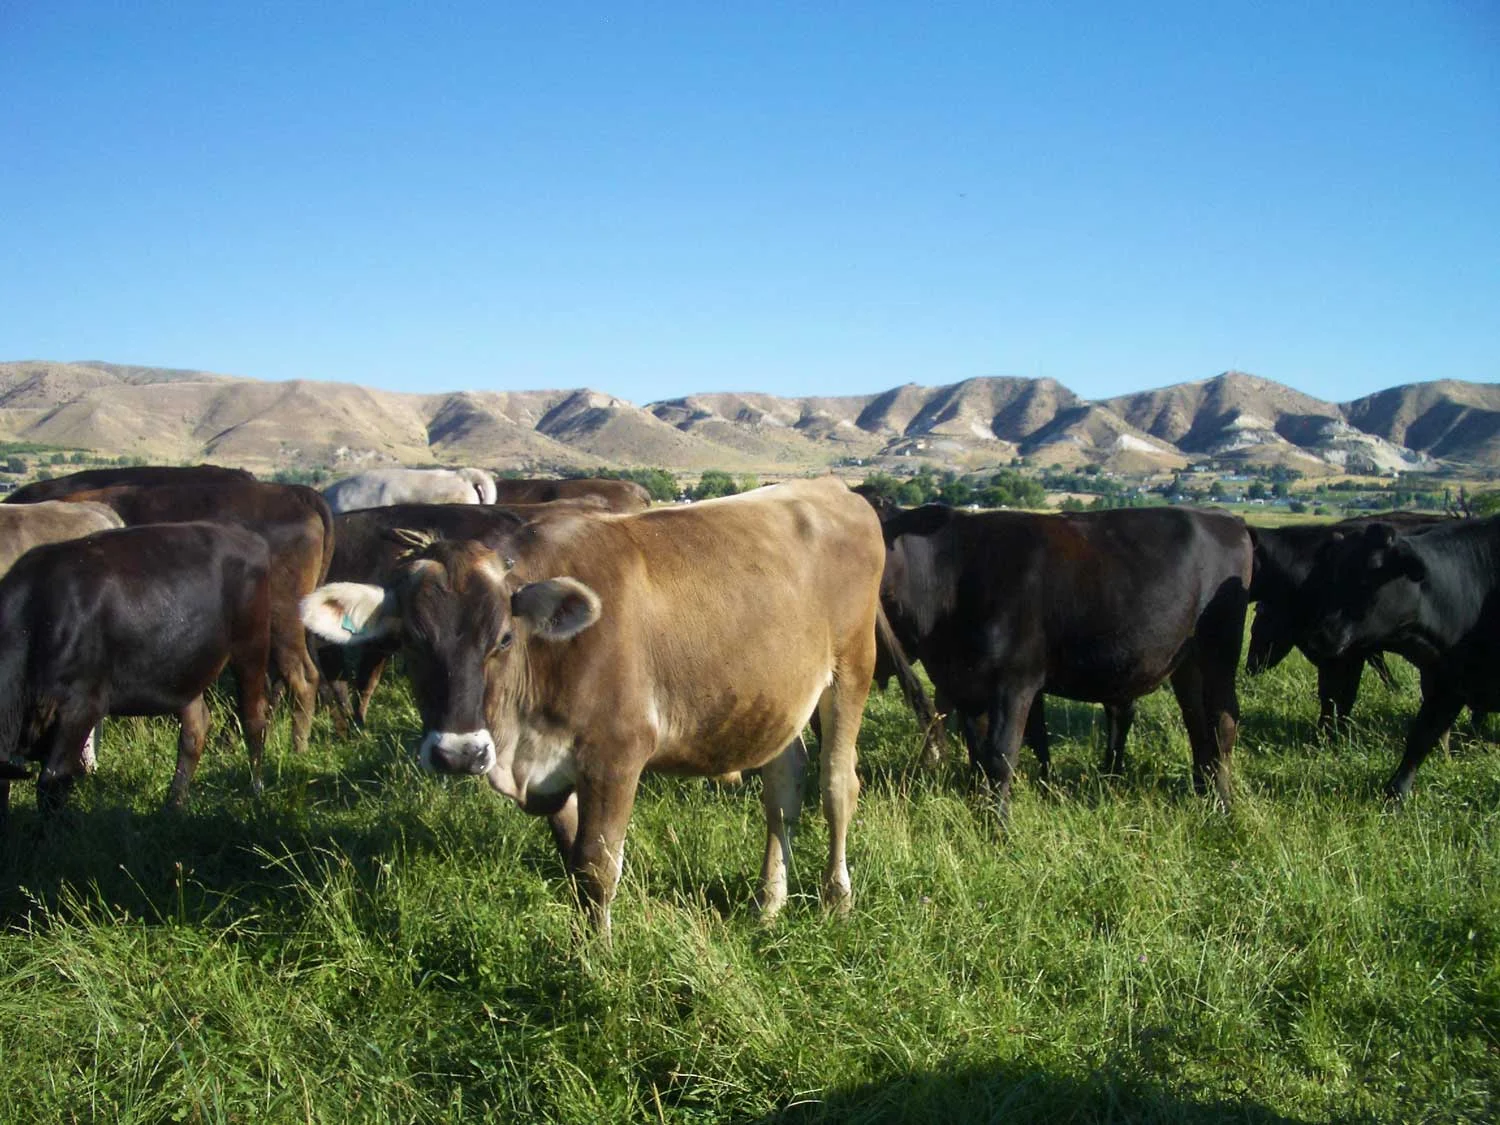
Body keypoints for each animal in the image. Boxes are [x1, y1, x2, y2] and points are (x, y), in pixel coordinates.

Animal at [0, 522, 271, 828]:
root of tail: (245, 534)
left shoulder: (81, 707)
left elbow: (52, 781)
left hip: (251, 646)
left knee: (254, 718)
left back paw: (256, 794)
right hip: (183, 669)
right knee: (195, 729)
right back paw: (172, 806)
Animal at [301, 477, 883, 936]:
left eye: (503, 638)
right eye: (411, 641)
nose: (459, 753)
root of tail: (832, 488)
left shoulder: (617, 754)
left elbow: (598, 867)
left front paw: (601, 961)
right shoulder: (553, 768)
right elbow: (573, 867)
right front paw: (583, 949)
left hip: (852, 669)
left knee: (837, 785)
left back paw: (836, 898)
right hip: (775, 698)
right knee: (783, 789)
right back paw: (768, 903)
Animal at [877, 505, 1253, 813]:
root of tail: (1226, 518)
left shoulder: (1015, 683)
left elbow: (1000, 755)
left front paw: (997, 827)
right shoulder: (964, 685)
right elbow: (978, 755)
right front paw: (977, 808)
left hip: (1219, 651)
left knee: (1222, 721)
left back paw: (1222, 804)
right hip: (1187, 665)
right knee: (1197, 724)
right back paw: (1202, 793)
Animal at [1299, 515, 1500, 800]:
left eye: (1370, 574)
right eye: (1333, 574)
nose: (1320, 636)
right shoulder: (1446, 683)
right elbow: (1420, 738)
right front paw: (1395, 794)